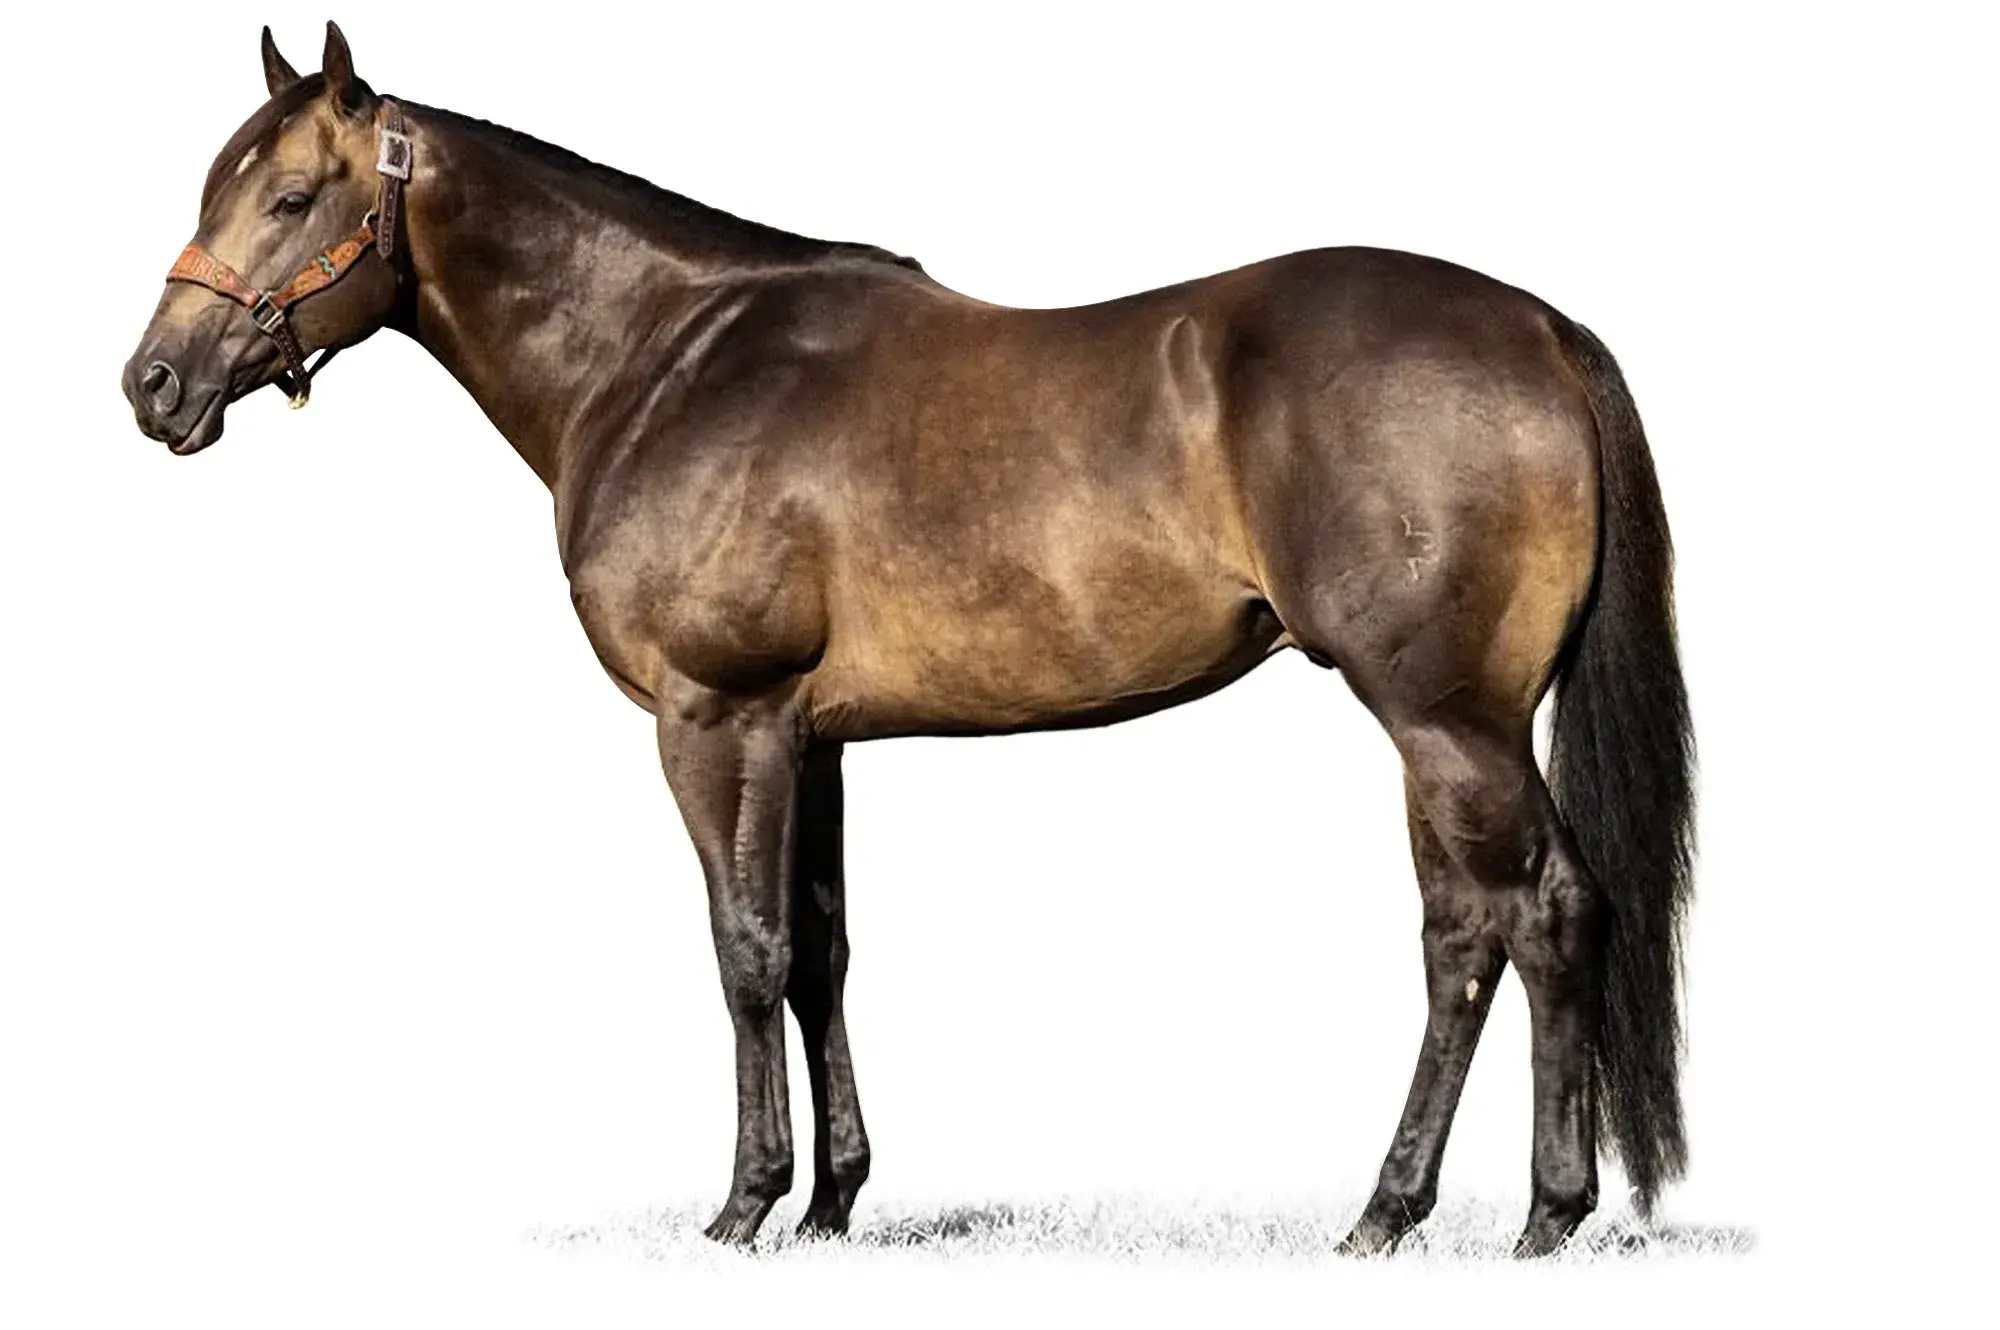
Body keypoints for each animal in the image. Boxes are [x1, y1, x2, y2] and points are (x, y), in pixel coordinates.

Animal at [121, 22, 1694, 1257]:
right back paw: (1397, 1213)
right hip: (1440, 727)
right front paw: (832, 1203)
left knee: (1543, 914)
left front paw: (742, 1207)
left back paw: (1529, 1213)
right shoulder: (811, 739)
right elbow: (820, 947)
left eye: (292, 193)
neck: (666, 358)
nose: (154, 384)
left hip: (1444, 717)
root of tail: (1542, 331)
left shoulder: (717, 717)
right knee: (1463, 935)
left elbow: (744, 947)